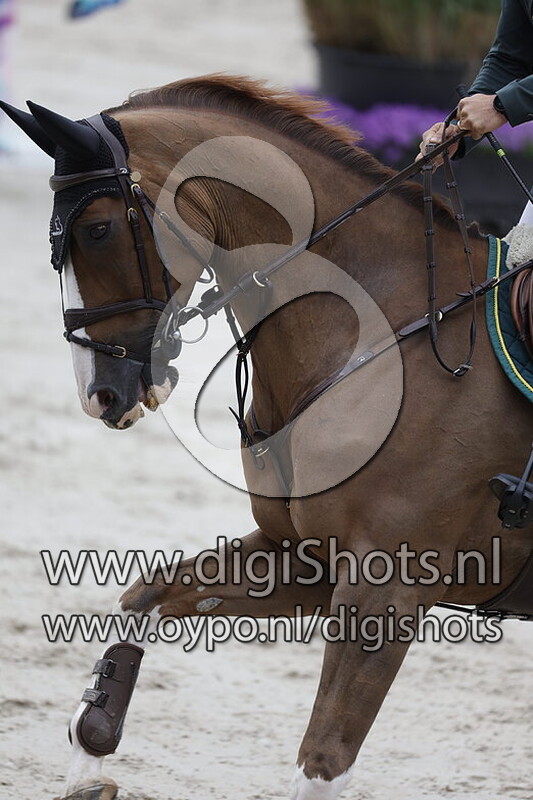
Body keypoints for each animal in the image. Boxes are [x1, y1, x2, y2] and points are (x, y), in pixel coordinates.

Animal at [2, 75, 532, 800]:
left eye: (98, 229)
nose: (99, 394)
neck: (374, 334)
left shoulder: (387, 587)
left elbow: (322, 760)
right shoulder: (306, 558)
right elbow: (145, 595)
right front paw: (89, 758)